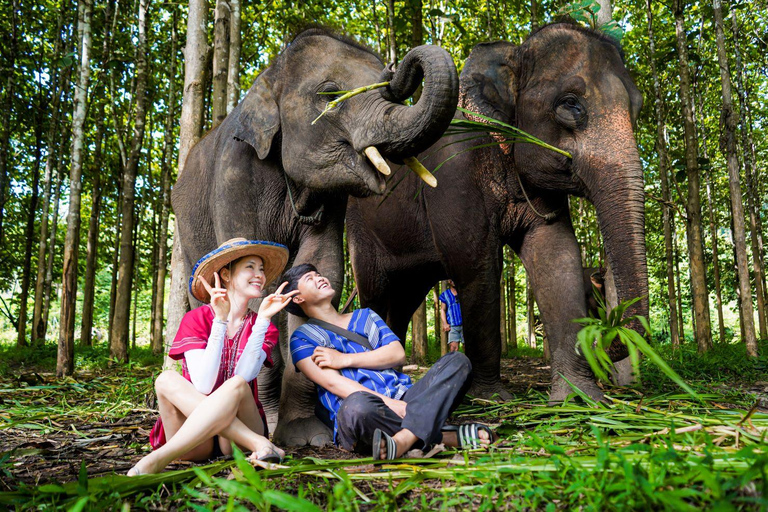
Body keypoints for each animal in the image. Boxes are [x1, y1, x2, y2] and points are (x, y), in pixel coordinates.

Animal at [172, 28, 460, 446]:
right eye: (329, 93)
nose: (396, 69)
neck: (271, 77)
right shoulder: (233, 178)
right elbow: (251, 278)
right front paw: (274, 423)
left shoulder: (331, 201)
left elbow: (325, 264)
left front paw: (307, 435)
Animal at [344, 22, 644, 402]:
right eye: (570, 104)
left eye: (637, 109)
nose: (603, 337)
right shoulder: (453, 173)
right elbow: (474, 260)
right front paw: (490, 397)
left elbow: (557, 255)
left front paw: (578, 398)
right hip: (360, 229)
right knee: (375, 292)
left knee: (404, 298)